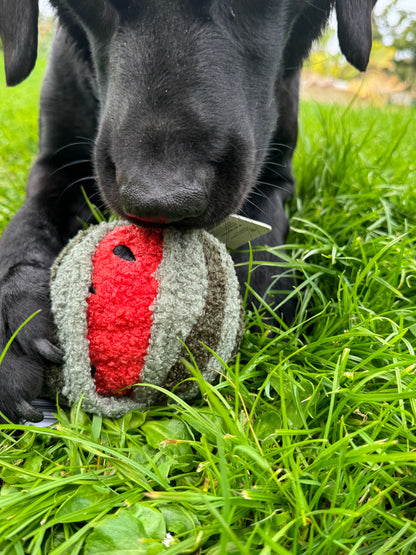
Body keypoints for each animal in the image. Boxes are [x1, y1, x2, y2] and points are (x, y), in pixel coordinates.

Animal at [0, 0, 376, 422]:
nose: (161, 198)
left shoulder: (276, 174)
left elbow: (265, 250)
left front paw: (267, 312)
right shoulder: (54, 167)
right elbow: (23, 231)